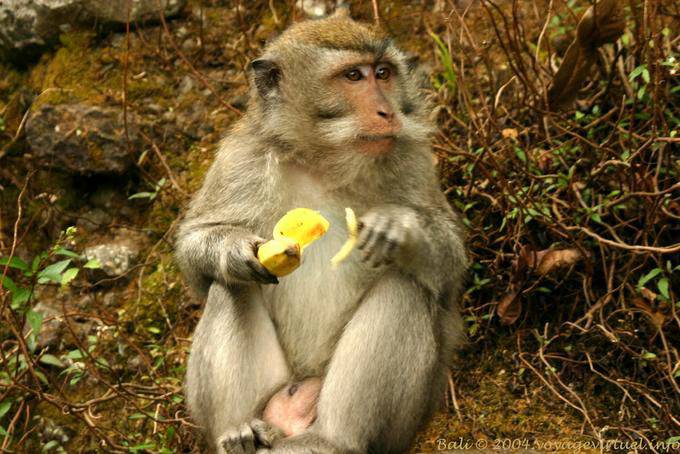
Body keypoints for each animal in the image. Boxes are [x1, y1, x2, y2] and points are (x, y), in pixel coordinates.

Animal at [175, 8, 468, 454]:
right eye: (353, 76)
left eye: (383, 73)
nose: (387, 112)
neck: (325, 160)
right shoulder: (240, 160)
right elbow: (197, 256)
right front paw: (233, 249)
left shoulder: (412, 159)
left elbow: (450, 267)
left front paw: (401, 228)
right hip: (276, 389)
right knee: (230, 287)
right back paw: (237, 432)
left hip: (402, 423)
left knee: (407, 285)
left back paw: (332, 438)